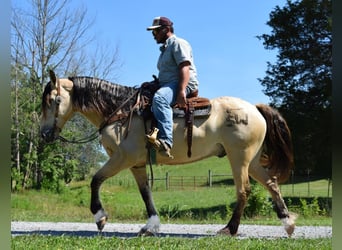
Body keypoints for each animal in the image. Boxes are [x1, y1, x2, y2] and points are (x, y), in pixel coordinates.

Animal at [40, 70, 296, 236]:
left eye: (53, 100)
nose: (44, 134)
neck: (120, 112)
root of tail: (255, 108)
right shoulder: (137, 163)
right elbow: (146, 193)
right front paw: (151, 226)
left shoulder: (122, 158)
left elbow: (96, 180)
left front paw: (100, 217)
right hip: (252, 161)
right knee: (271, 183)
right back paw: (288, 223)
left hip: (239, 158)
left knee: (244, 190)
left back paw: (229, 229)